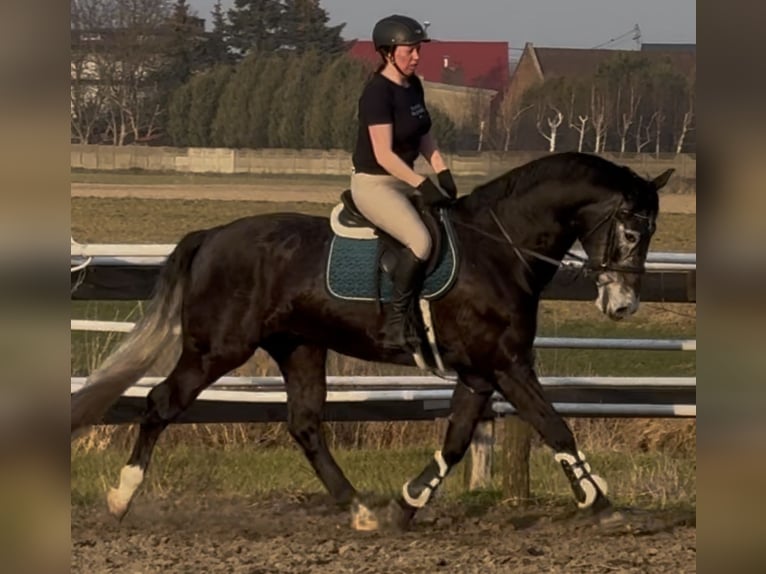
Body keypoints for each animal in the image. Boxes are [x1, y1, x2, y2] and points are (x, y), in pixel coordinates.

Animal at [70, 152, 672, 532]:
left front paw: (405, 507)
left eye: (650, 232)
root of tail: (212, 236)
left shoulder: (480, 372)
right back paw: (121, 499)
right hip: (216, 349)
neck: (500, 248)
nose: (622, 306)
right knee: (160, 403)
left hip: (299, 347)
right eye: (631, 230)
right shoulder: (507, 364)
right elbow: (554, 425)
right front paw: (603, 505)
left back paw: (359, 510)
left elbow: (456, 441)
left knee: (306, 425)